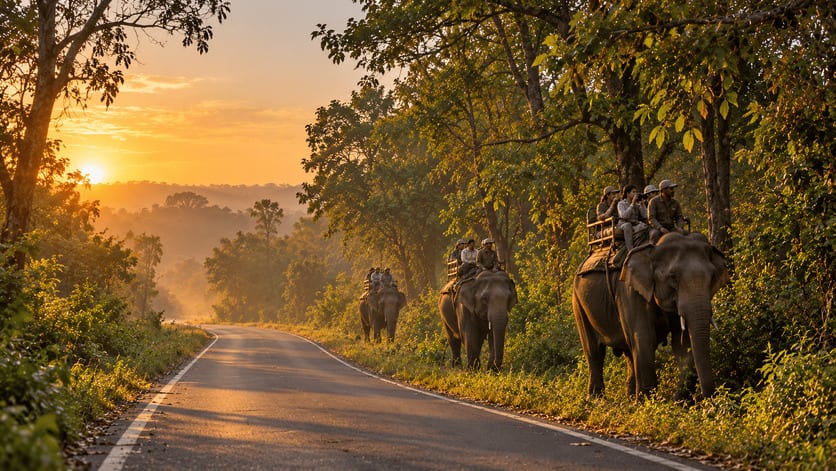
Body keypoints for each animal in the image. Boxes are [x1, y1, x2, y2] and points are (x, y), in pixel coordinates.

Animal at [572, 232, 729, 398]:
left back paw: (629, 396)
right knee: (594, 351)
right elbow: (644, 338)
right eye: (673, 277)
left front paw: (678, 399)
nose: (701, 396)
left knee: (628, 350)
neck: (654, 246)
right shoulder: (630, 291)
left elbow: (682, 342)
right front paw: (649, 400)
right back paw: (596, 399)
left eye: (713, 276)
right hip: (578, 302)